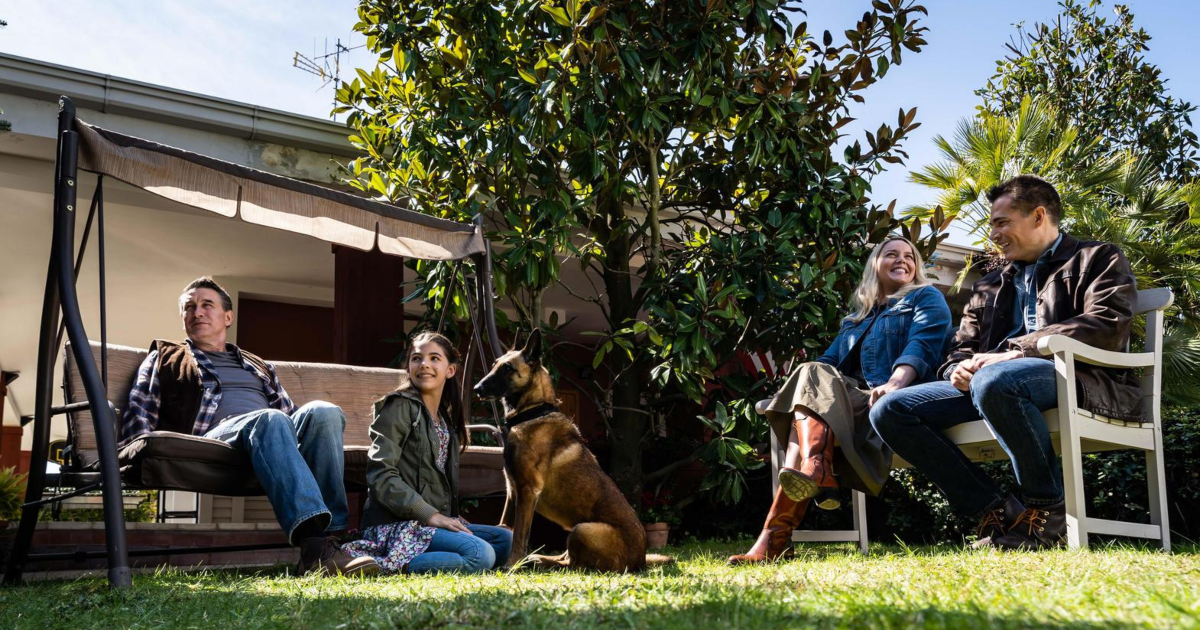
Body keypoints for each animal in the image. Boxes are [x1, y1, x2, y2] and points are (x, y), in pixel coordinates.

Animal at [472, 328, 672, 568]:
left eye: (507, 368)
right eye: (494, 365)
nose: (476, 388)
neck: (534, 412)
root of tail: (640, 559)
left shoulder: (527, 490)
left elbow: (518, 534)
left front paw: (511, 565)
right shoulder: (512, 491)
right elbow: (504, 526)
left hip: (582, 529)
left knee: (573, 564)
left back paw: (541, 560)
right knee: (567, 557)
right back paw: (540, 558)